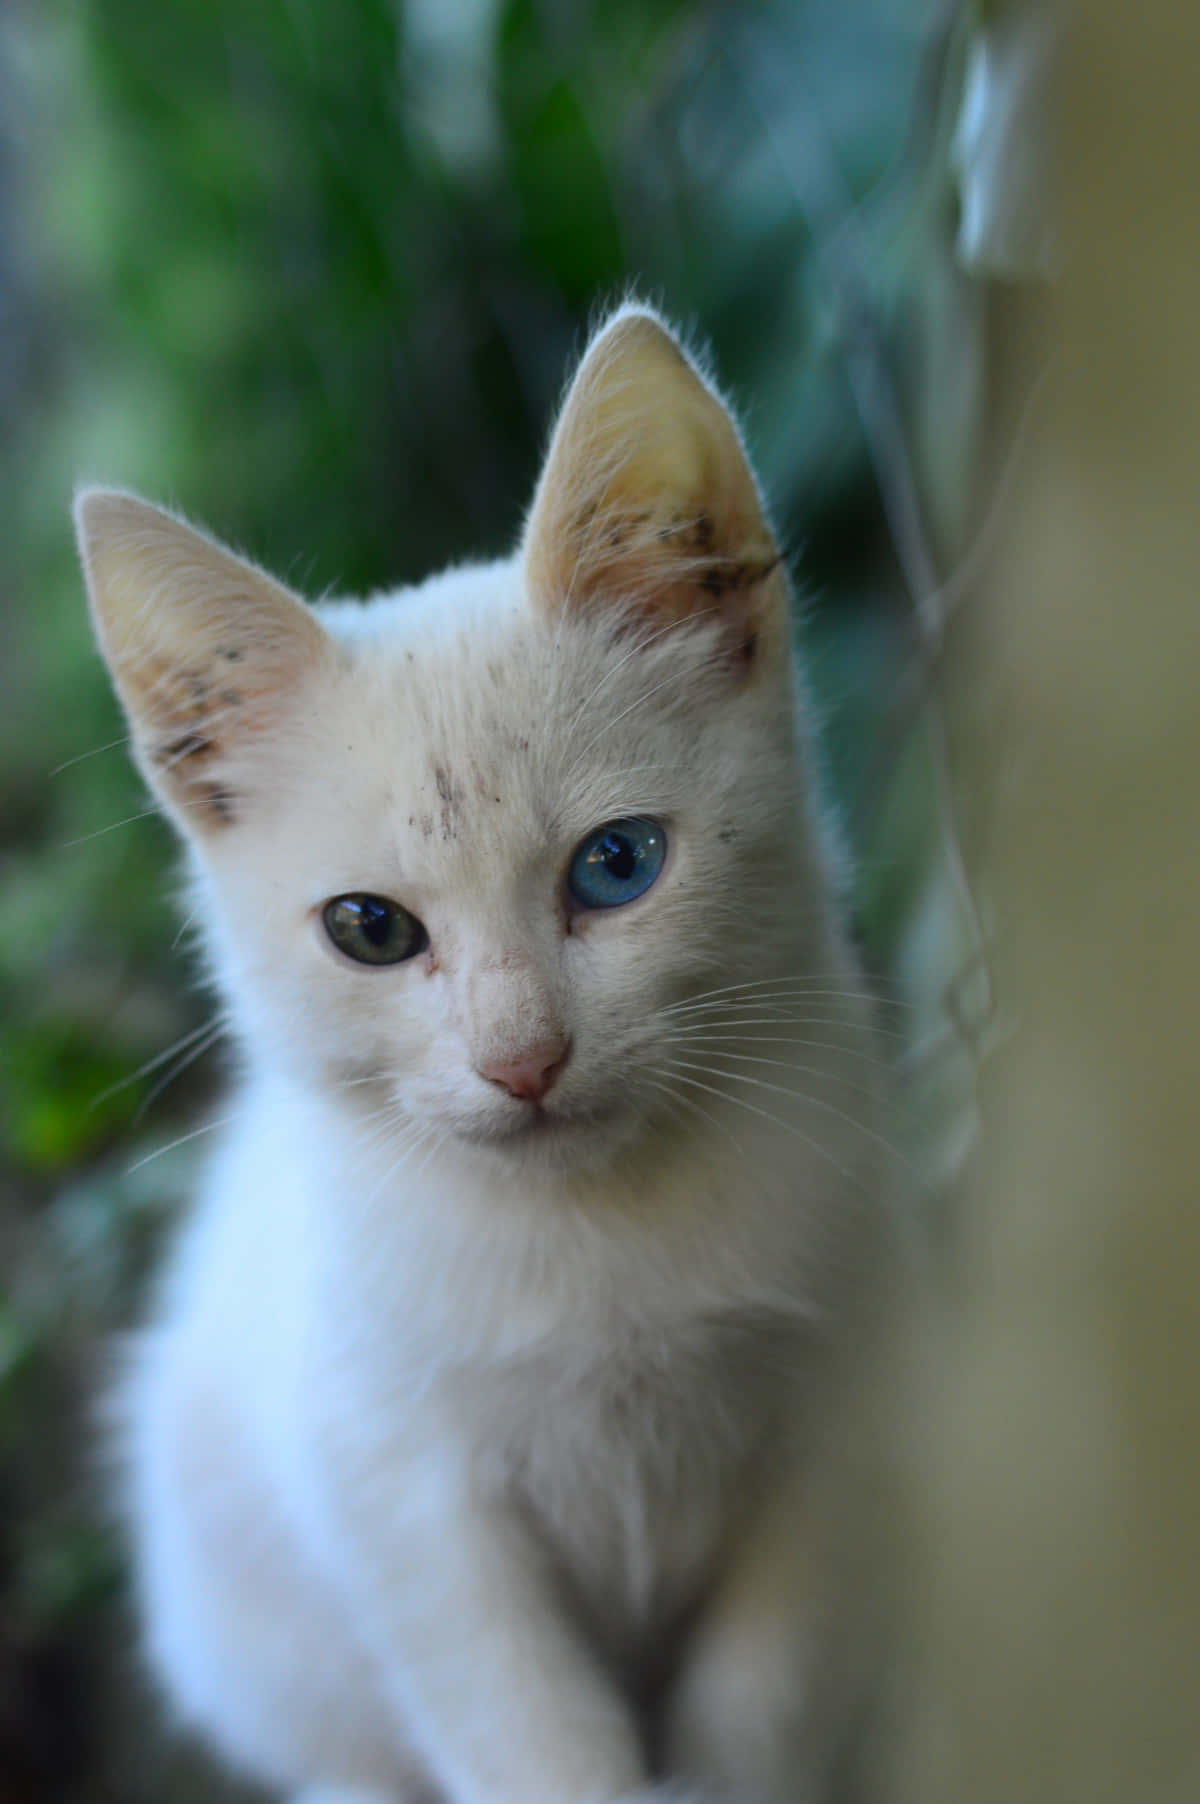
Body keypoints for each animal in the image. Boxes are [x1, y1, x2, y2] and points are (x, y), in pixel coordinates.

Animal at [77, 306, 898, 1804]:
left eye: (618, 865)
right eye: (369, 929)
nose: (525, 1058)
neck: (599, 1233)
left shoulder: (845, 1409)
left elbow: (766, 1695)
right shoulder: (404, 1503)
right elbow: (526, 1733)